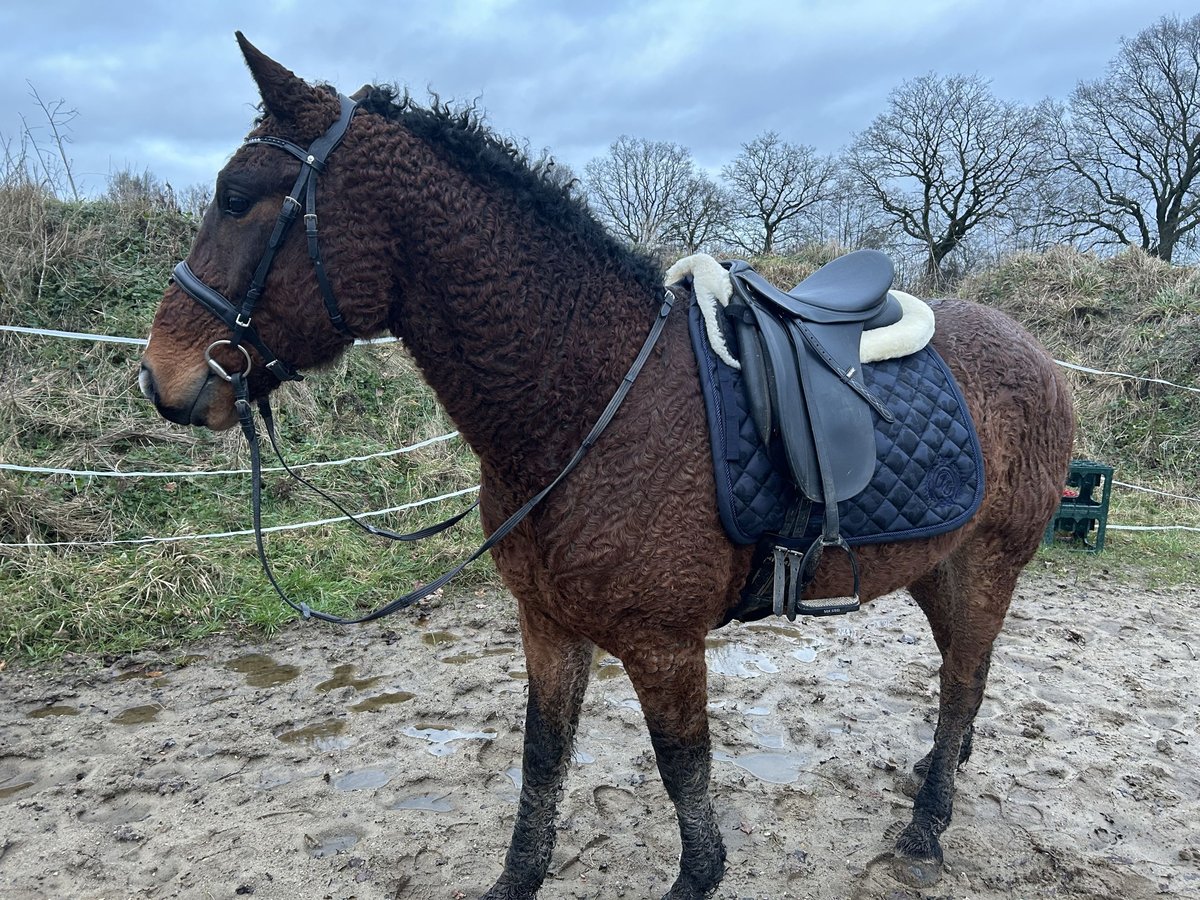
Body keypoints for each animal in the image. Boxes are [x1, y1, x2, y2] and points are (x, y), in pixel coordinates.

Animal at [136, 35, 1075, 900]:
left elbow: (685, 783)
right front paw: (517, 878)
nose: (159, 378)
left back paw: (925, 828)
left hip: (990, 562)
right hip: (935, 566)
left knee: (962, 680)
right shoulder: (549, 626)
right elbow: (542, 761)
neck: (584, 402)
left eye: (235, 198)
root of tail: (1033, 349)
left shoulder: (663, 646)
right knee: (964, 678)